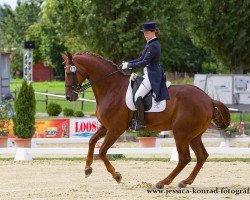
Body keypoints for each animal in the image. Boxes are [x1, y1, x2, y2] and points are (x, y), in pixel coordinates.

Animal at [61, 52, 229, 188]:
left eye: (70, 72)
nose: (69, 97)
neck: (111, 88)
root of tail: (209, 99)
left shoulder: (116, 128)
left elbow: (102, 151)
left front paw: (117, 176)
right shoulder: (106, 126)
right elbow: (92, 141)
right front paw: (87, 169)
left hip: (181, 133)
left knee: (184, 158)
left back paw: (163, 182)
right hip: (193, 135)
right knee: (201, 156)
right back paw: (185, 182)